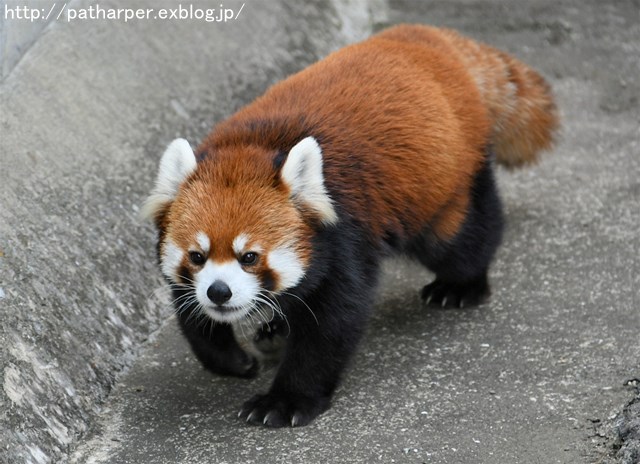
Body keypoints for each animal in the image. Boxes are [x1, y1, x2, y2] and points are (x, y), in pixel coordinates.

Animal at [140, 25, 556, 428]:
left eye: (250, 257)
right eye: (198, 256)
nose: (219, 292)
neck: (252, 145)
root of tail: (427, 37)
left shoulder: (344, 233)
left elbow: (331, 324)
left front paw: (286, 401)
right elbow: (191, 312)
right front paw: (232, 359)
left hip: (447, 177)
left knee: (460, 237)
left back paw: (460, 286)